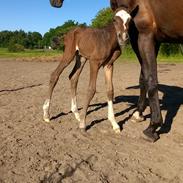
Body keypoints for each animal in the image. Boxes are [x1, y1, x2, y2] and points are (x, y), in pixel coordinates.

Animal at [49, 0, 183, 142]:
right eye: (114, 19)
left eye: (130, 20)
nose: (123, 37)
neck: (106, 38)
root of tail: (68, 32)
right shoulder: (95, 63)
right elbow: (91, 89)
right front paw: (83, 125)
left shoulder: (108, 65)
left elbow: (110, 90)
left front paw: (114, 124)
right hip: (69, 54)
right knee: (55, 75)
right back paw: (47, 115)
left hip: (81, 58)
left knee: (73, 77)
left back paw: (76, 114)